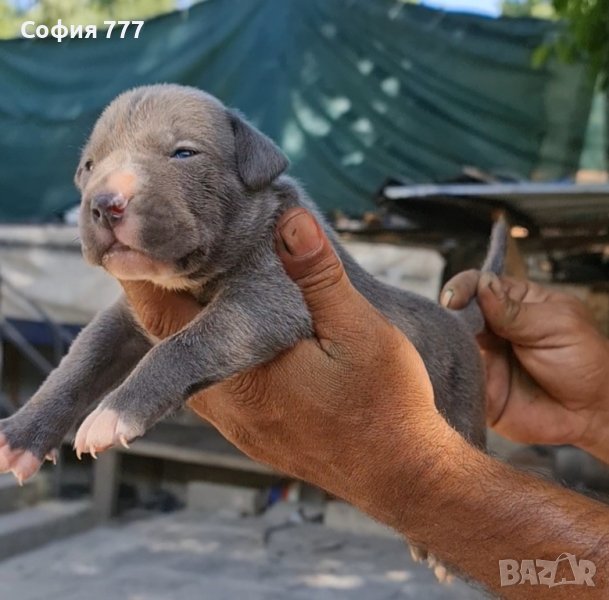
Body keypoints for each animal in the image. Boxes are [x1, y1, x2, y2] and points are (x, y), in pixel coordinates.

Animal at [0, 84, 504, 488]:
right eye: (89, 165)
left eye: (184, 153)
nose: (104, 205)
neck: (189, 278)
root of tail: (457, 318)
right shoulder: (127, 315)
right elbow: (77, 364)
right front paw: (20, 437)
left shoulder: (270, 296)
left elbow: (184, 344)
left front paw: (114, 413)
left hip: (464, 397)